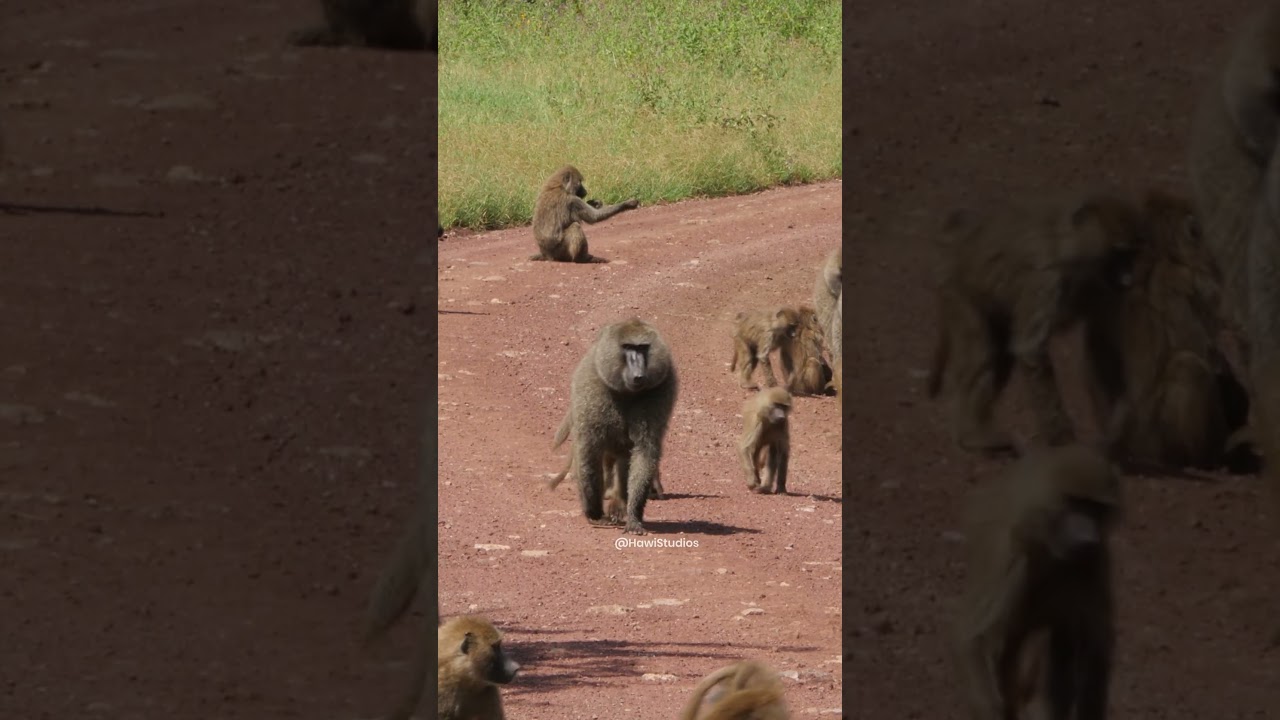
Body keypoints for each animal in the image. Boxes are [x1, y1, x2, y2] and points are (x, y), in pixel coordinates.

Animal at [552, 318, 677, 534]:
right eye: (627, 347)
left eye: (642, 347)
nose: (638, 374)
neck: (626, 392)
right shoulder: (592, 390)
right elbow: (589, 448)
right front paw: (594, 513)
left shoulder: (659, 390)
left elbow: (644, 449)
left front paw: (633, 516)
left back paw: (619, 504)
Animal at [926, 191, 1145, 457]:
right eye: (1119, 254)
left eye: (1132, 255)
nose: (1129, 280)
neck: (1070, 248)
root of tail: (954, 243)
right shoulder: (1045, 276)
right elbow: (1031, 350)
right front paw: (1065, 441)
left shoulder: (1102, 289)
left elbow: (1101, 344)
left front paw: (1117, 430)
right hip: (957, 291)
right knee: (982, 354)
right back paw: (973, 436)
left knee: (1001, 356)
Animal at [953, 443, 1121, 720]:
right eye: (1076, 502)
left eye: (1096, 508)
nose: (1088, 538)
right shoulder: (1007, 554)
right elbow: (975, 638)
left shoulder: (1094, 560)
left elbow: (1095, 648)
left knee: (1061, 637)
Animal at [1083, 189, 1257, 472]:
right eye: (1196, 230)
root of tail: (1127, 448)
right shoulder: (1178, 280)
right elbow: (1205, 352)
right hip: (1157, 439)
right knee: (1189, 365)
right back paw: (1213, 458)